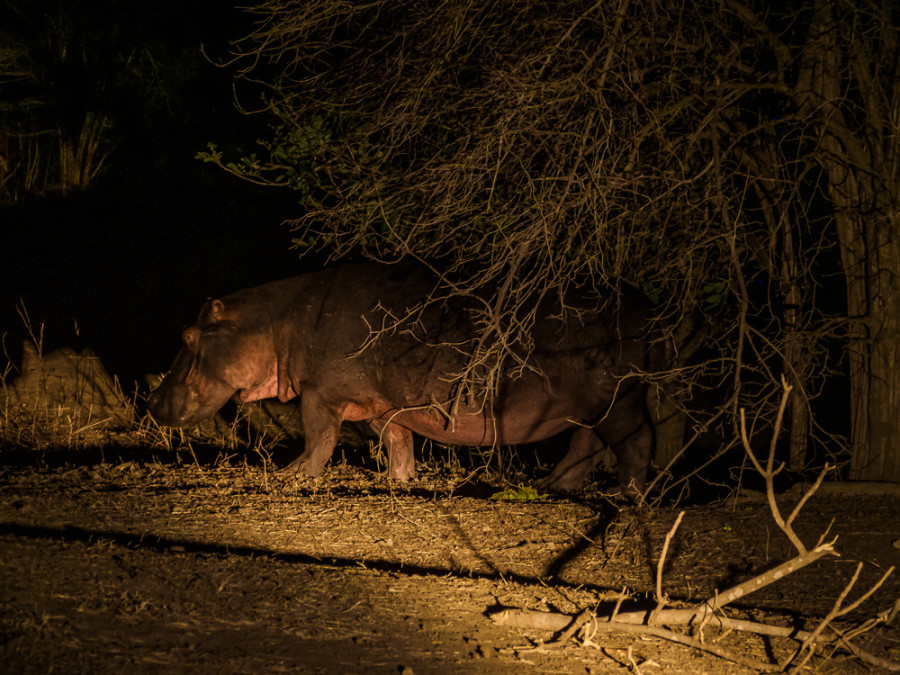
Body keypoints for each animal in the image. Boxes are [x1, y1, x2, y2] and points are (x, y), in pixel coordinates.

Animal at [151, 262, 664, 488]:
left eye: (188, 335)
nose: (152, 399)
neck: (273, 319)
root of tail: (645, 302)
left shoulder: (319, 393)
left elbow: (319, 438)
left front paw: (290, 473)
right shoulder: (382, 405)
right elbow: (398, 441)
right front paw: (399, 482)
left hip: (618, 400)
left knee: (637, 442)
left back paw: (628, 495)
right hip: (589, 407)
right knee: (584, 446)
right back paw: (552, 488)